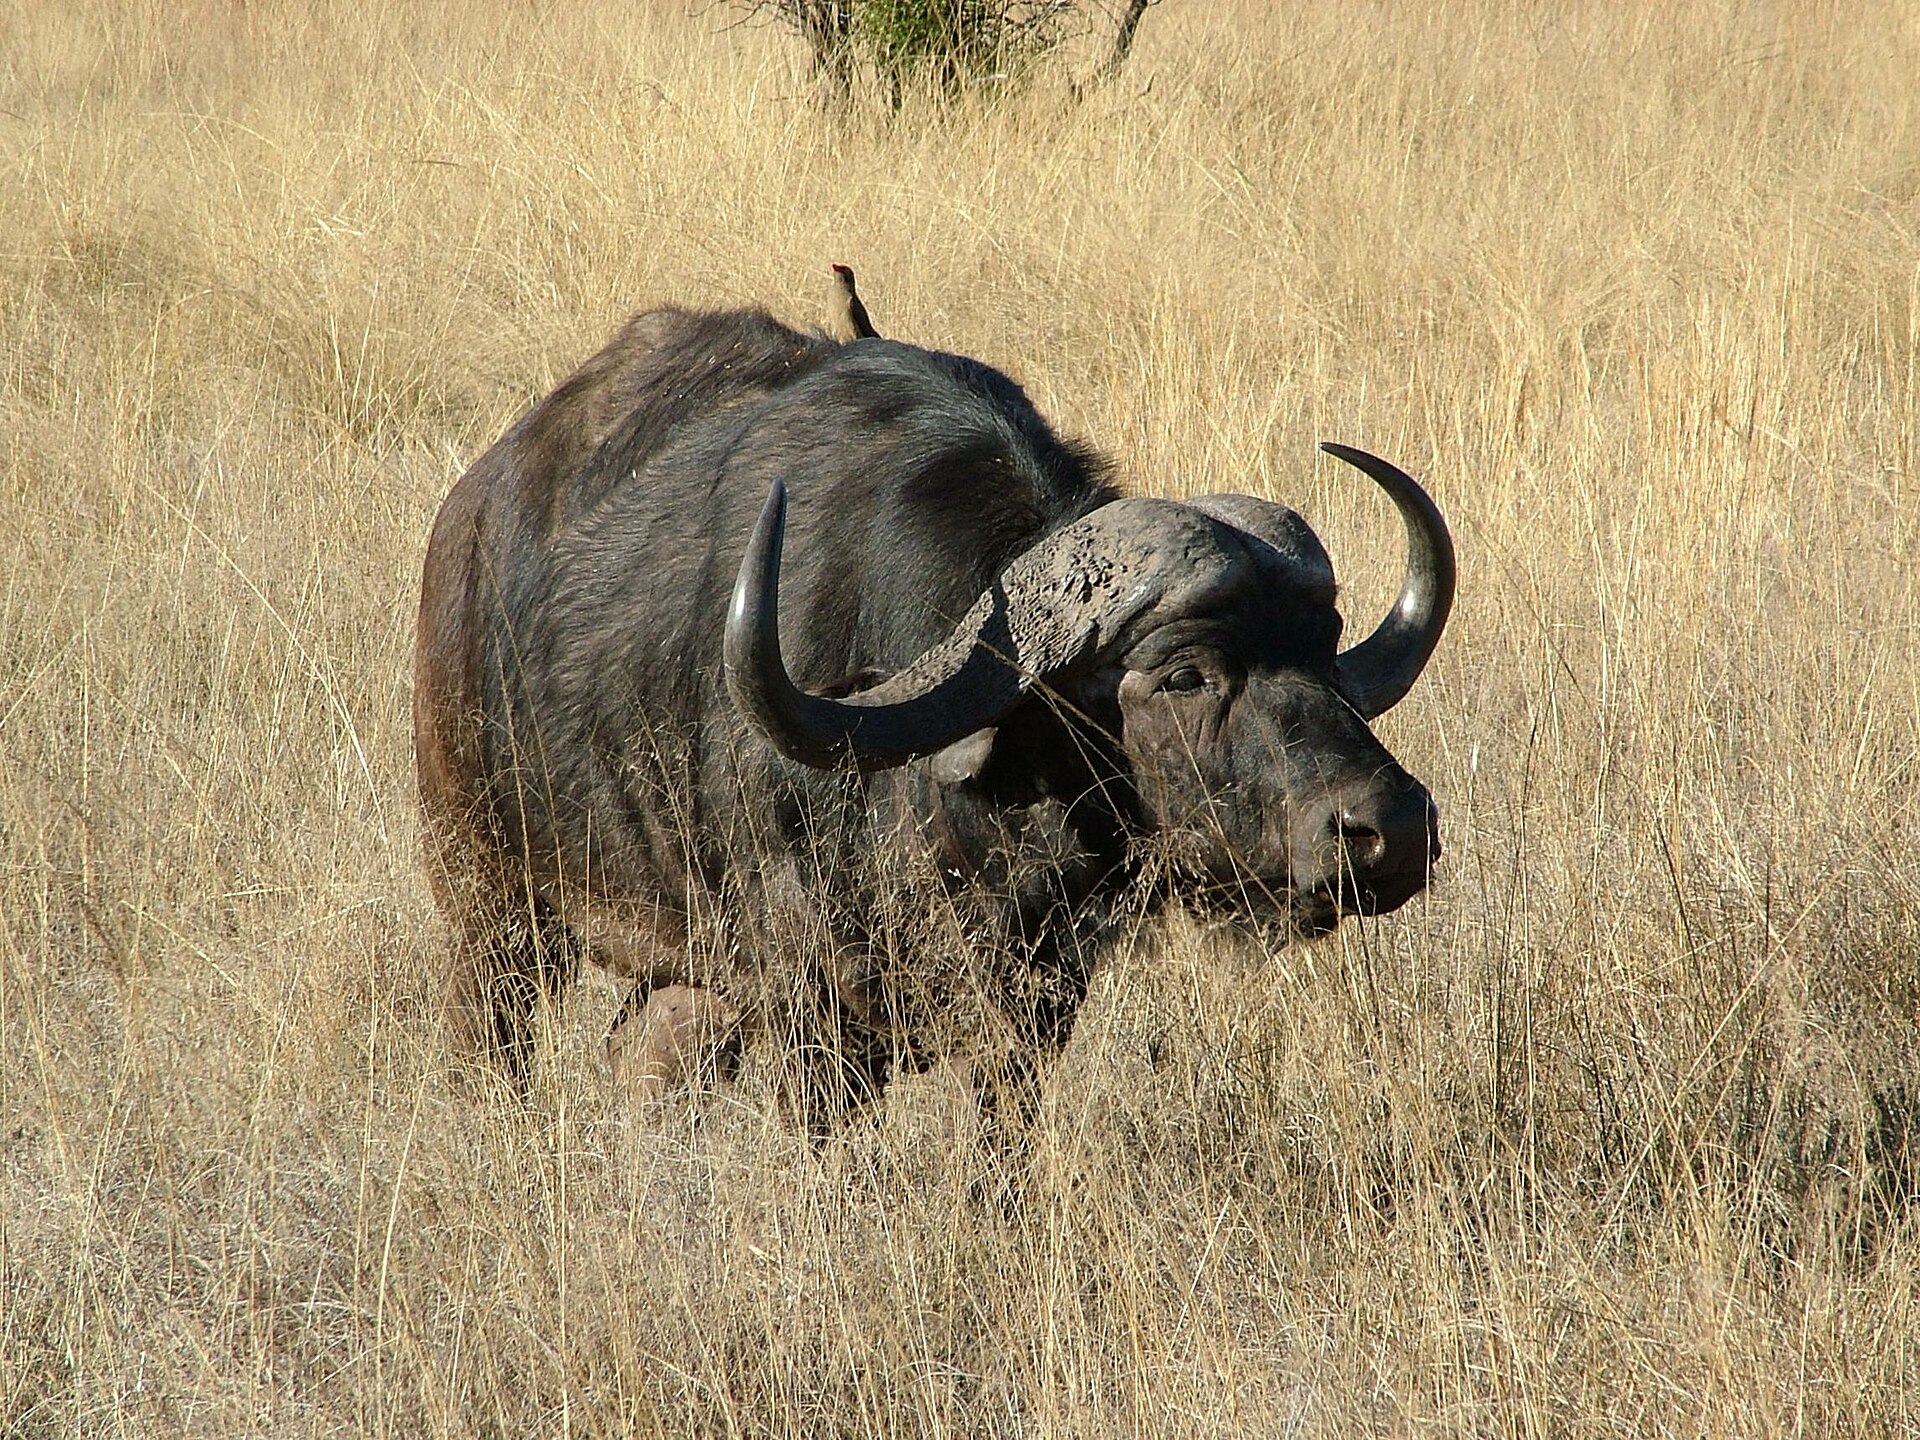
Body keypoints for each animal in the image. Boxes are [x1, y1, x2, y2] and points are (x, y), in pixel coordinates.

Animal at [414, 296, 1454, 1133]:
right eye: (1184, 676)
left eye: (1323, 647)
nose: (1391, 829)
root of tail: (468, 514)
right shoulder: (814, 1013)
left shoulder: (1029, 1011)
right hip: (488, 903)